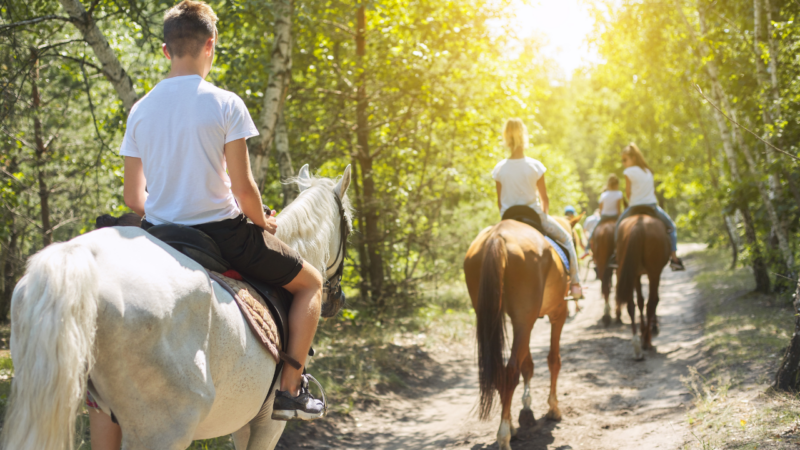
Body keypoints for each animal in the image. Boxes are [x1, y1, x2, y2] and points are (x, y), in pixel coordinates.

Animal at [3, 163, 352, 448]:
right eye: (349, 225)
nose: (337, 300)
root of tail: (78, 257)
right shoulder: (265, 423)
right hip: (164, 429)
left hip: (102, 415)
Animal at [462, 216, 576, 448]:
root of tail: (497, 237)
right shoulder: (558, 313)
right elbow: (553, 360)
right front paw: (553, 408)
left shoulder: (526, 321)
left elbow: (528, 365)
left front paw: (526, 409)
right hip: (525, 319)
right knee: (510, 371)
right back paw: (504, 434)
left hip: (496, 316)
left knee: (501, 372)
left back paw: (511, 427)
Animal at [616, 214, 672, 358]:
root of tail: (638, 225)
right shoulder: (655, 273)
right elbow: (653, 301)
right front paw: (650, 330)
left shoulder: (636, 274)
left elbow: (640, 302)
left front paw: (642, 332)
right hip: (653, 273)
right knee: (651, 303)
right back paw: (647, 342)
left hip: (632, 271)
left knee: (632, 305)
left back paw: (637, 344)